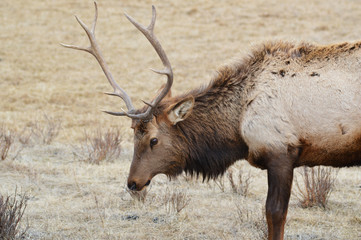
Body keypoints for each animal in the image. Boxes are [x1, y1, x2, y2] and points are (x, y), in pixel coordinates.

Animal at [62, 1, 360, 238]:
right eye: (132, 135)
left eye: (154, 140)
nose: (133, 182)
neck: (237, 130)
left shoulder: (281, 152)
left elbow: (274, 214)